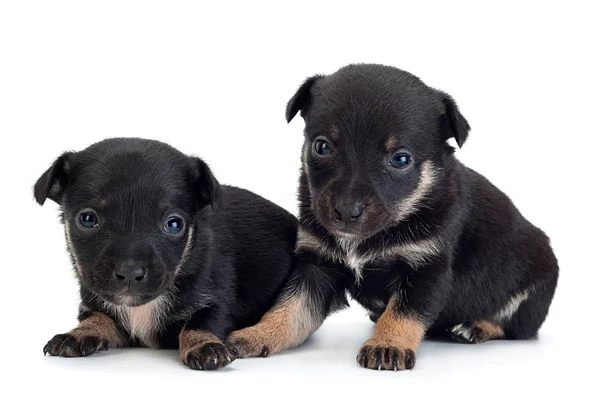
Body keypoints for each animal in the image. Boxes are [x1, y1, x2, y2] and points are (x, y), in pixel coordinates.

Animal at [34, 139, 296, 370]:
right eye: (87, 219)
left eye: (174, 224)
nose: (130, 272)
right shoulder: (93, 302)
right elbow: (95, 317)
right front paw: (77, 334)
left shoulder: (218, 299)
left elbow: (203, 320)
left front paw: (204, 345)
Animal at [229, 63, 556, 372]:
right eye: (321, 146)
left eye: (401, 159)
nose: (346, 211)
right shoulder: (315, 268)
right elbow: (289, 310)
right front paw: (256, 334)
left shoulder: (426, 270)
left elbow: (403, 312)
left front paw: (388, 345)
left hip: (533, 291)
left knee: (514, 327)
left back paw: (473, 327)